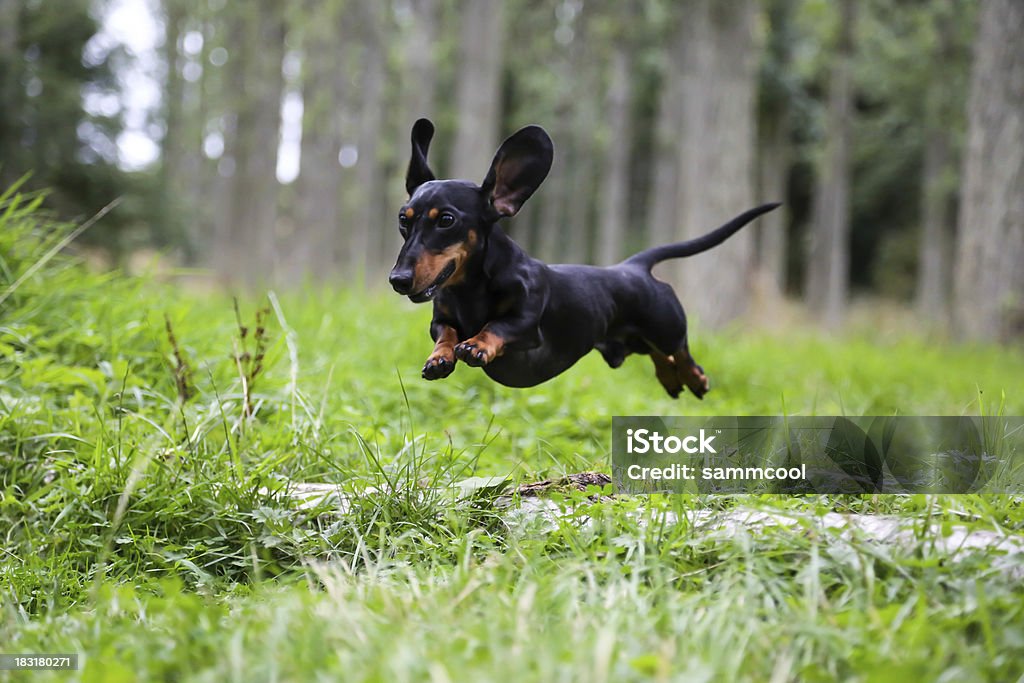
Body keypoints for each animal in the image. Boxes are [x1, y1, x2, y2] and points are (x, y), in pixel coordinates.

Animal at [387, 119, 778, 397]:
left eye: (446, 220)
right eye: (403, 219)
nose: (398, 280)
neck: (470, 290)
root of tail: (633, 266)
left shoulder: (527, 324)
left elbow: (496, 326)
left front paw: (477, 344)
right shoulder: (441, 319)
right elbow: (446, 333)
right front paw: (440, 357)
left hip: (665, 326)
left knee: (679, 350)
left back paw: (695, 379)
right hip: (636, 339)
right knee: (660, 355)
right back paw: (671, 379)